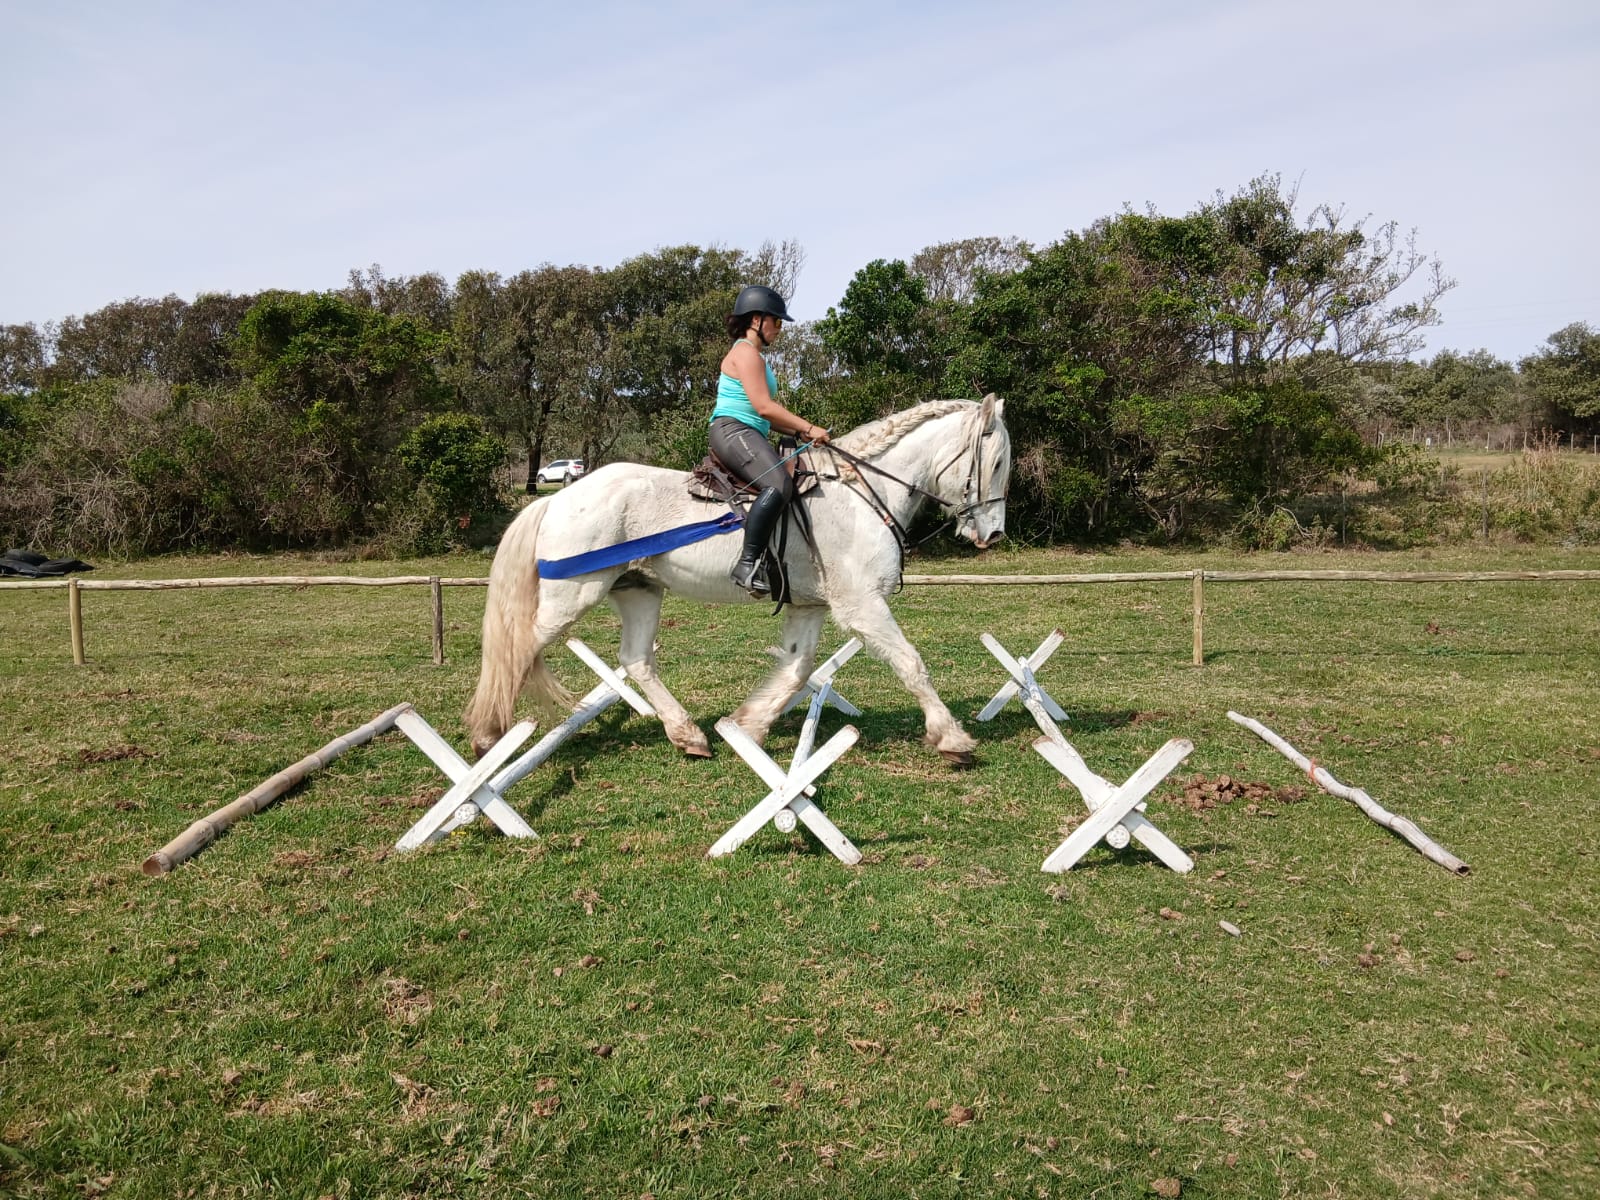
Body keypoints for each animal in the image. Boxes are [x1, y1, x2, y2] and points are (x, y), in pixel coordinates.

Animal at [465, 395, 1010, 765]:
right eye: (999, 461)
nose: (993, 533)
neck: (861, 493)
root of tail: (557, 498)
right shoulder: (862, 604)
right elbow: (910, 662)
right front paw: (951, 737)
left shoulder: (809, 606)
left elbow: (797, 670)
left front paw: (748, 727)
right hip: (573, 596)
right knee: (518, 648)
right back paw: (487, 734)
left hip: (639, 591)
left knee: (637, 660)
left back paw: (688, 735)